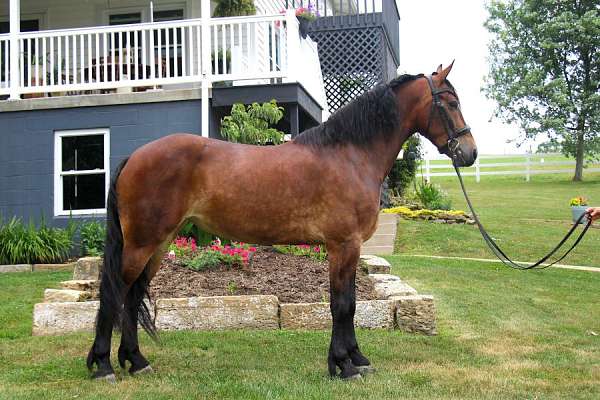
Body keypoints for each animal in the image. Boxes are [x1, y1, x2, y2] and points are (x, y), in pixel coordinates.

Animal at [86, 62, 476, 382]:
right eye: (451, 103)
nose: (469, 152)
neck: (349, 154)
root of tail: (135, 156)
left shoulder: (350, 249)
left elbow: (350, 302)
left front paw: (357, 359)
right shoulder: (343, 245)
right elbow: (342, 305)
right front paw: (343, 365)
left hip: (158, 244)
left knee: (133, 296)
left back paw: (136, 361)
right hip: (142, 244)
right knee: (114, 293)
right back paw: (103, 365)